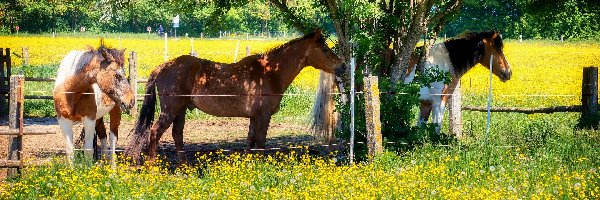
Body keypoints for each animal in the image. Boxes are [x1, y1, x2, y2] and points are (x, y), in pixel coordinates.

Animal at [124, 30, 344, 163]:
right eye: (324, 48)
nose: (342, 66)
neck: (269, 72)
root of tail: (164, 66)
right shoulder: (263, 116)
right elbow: (261, 142)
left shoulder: (254, 117)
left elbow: (250, 141)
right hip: (170, 111)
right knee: (155, 132)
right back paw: (153, 165)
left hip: (180, 111)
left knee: (177, 135)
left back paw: (184, 167)